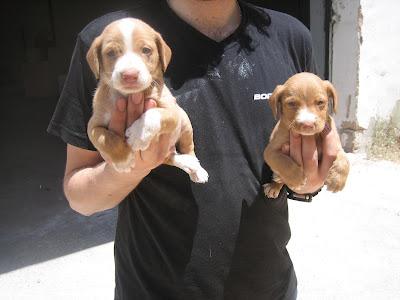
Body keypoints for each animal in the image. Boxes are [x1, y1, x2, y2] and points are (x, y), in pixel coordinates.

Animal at [86, 18, 208, 184]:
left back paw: (196, 168)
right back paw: (187, 163)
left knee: (189, 148)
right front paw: (123, 159)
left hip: (185, 123)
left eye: (146, 50)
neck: (128, 95)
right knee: (170, 157)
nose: (129, 75)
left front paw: (138, 133)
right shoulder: (93, 124)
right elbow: (104, 138)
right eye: (110, 53)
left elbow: (154, 113)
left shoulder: (173, 112)